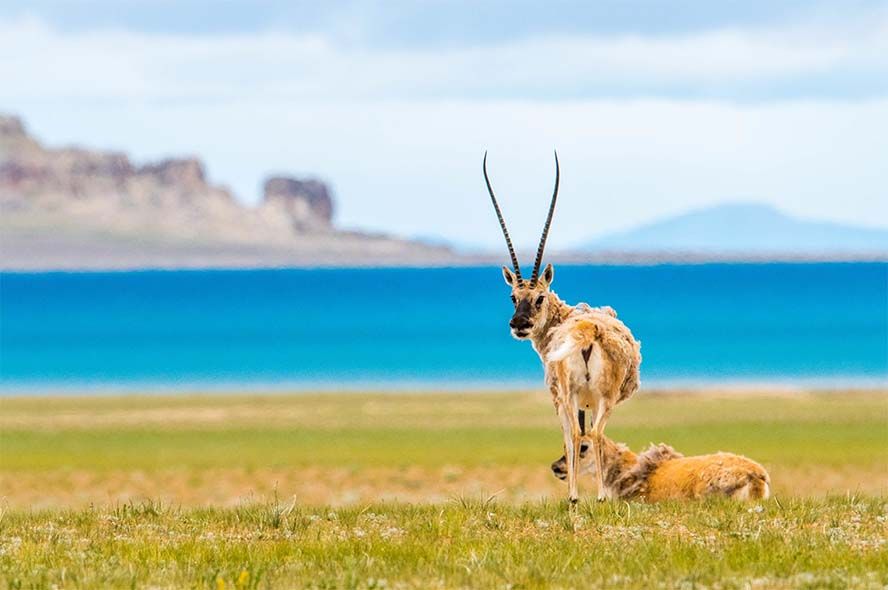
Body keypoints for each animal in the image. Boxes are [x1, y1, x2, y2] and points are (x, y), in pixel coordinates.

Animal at [482, 151, 640, 504]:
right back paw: (595, 496)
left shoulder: (559, 398)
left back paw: (579, 497)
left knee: (582, 432)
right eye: (513, 296)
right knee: (592, 431)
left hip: (574, 395)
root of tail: (589, 331)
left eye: (539, 297)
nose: (519, 324)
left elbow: (571, 436)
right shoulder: (584, 401)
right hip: (597, 397)